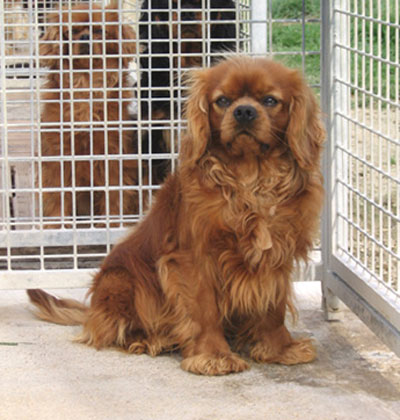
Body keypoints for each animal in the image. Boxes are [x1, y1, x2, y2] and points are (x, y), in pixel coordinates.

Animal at [28, 56, 325, 375]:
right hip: (121, 278)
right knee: (111, 327)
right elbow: (205, 311)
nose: (244, 111)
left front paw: (280, 349)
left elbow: (273, 306)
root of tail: (91, 310)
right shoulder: (193, 259)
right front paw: (213, 355)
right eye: (223, 101)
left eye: (270, 100)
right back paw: (148, 339)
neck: (250, 178)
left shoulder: (276, 254)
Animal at [39, 3, 142, 227]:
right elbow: (57, 198)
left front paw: (111, 224)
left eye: (99, 31)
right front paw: (57, 226)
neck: (86, 82)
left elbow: (114, 198)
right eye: (71, 32)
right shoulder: (58, 159)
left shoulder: (112, 157)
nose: (85, 37)